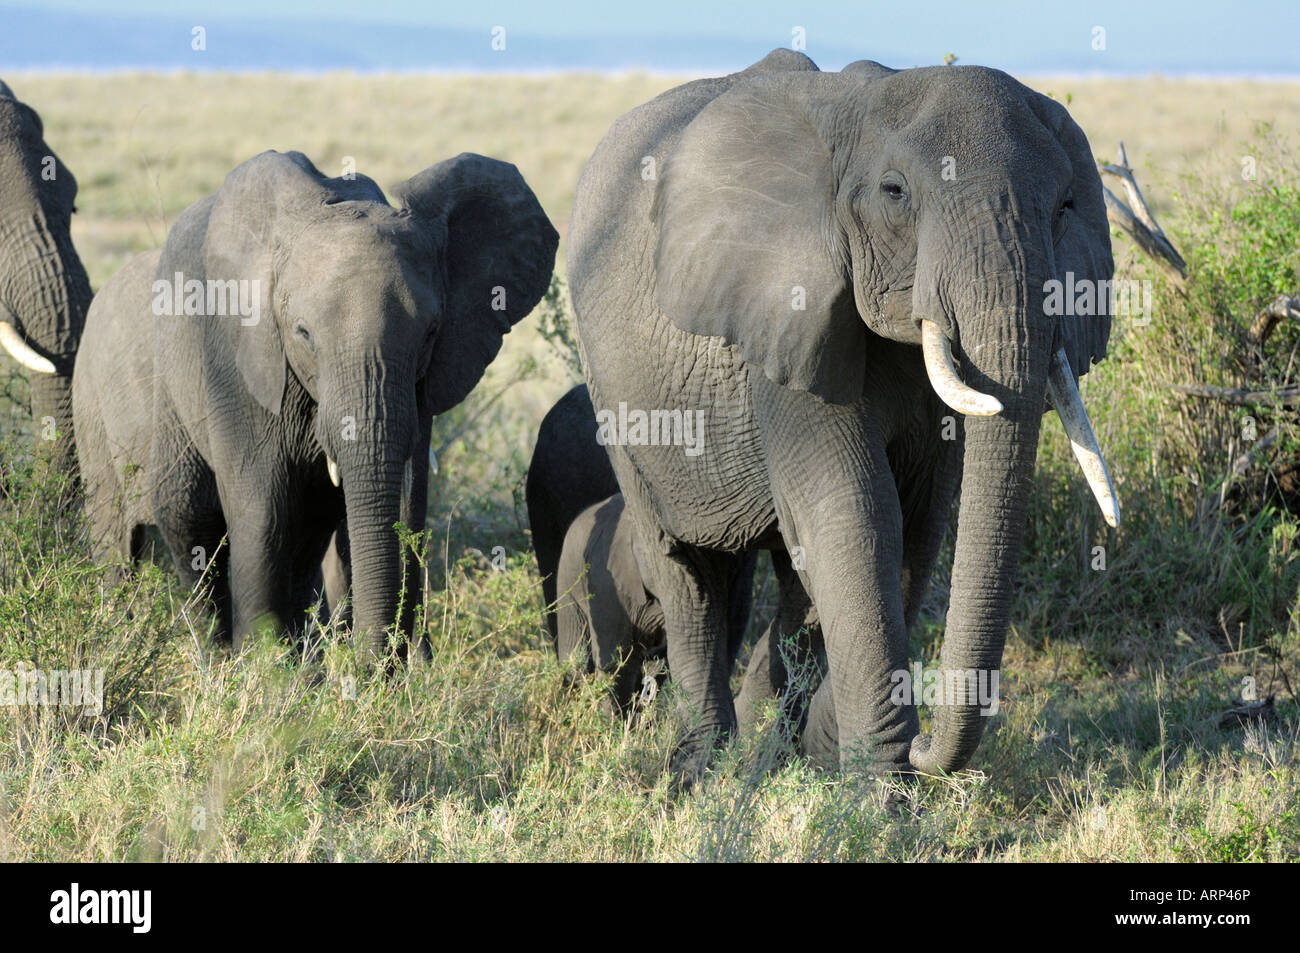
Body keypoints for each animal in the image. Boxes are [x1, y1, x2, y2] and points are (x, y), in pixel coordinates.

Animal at [569, 52, 1118, 774]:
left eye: (1065, 206)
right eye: (895, 193)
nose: (924, 745)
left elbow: (918, 519)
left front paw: (835, 759)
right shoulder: (787, 318)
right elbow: (856, 510)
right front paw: (882, 788)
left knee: (786, 581)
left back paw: (765, 753)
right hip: (612, 392)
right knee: (686, 571)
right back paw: (705, 768)